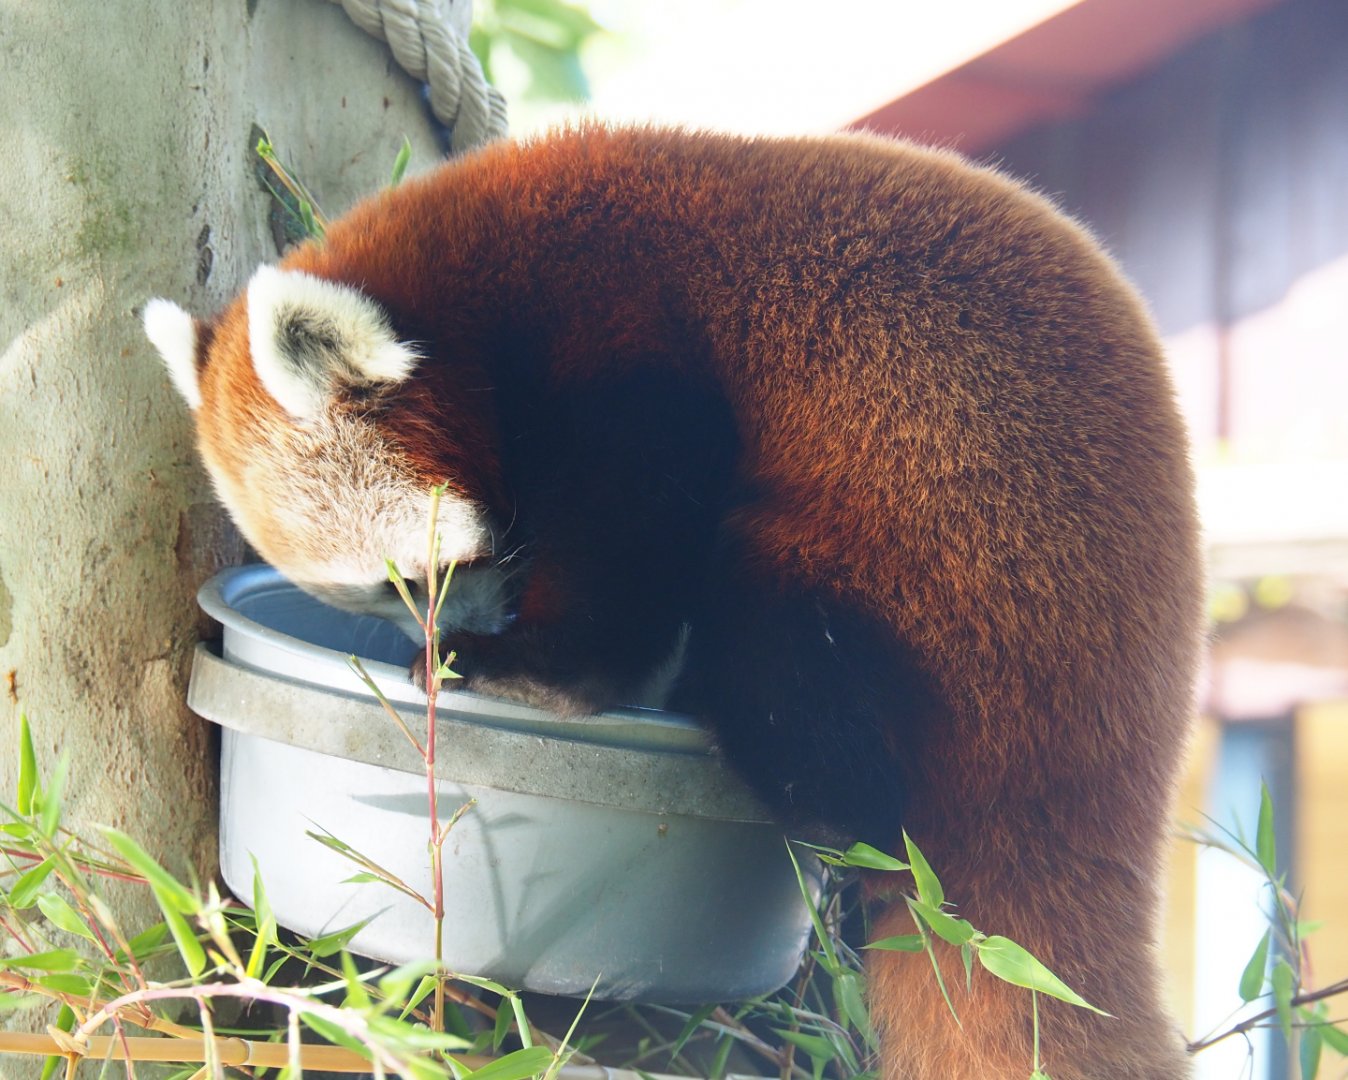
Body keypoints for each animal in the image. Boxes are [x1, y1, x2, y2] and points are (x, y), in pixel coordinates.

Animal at [144, 126, 1201, 1079]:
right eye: (381, 593)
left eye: (407, 579)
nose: (462, 629)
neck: (493, 271)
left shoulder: (629, 341)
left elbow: (631, 533)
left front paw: (530, 670)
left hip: (938, 573)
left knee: (817, 712)